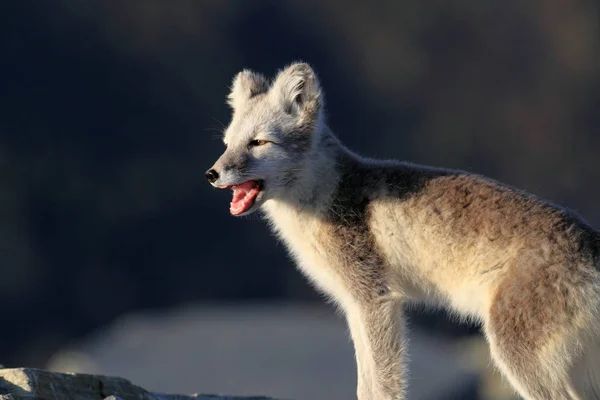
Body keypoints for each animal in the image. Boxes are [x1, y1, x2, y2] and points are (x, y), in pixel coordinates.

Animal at [206, 64, 600, 398]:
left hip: (515, 354)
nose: (211, 174)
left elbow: (380, 385)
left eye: (258, 142)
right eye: (227, 143)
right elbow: (365, 383)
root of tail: (591, 243)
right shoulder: (355, 307)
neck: (325, 193)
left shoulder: (375, 300)